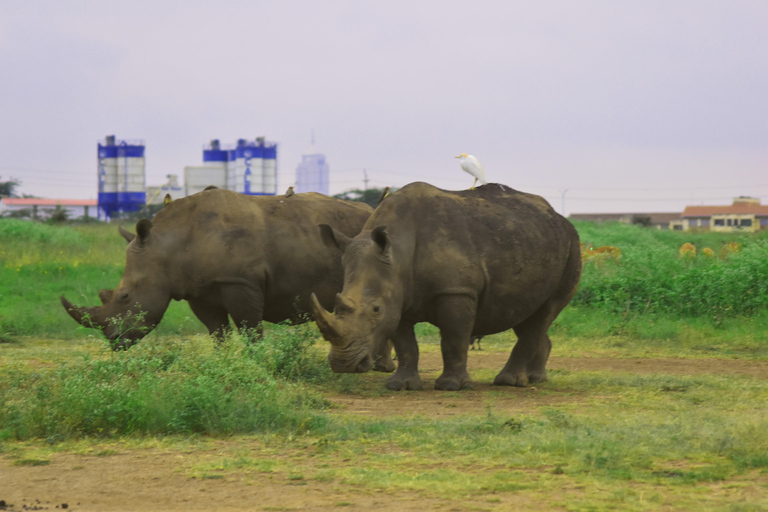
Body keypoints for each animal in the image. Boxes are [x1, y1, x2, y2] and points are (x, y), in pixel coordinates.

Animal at [62, 188, 392, 368]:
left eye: (126, 296)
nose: (113, 340)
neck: (167, 246)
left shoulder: (239, 282)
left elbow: (250, 330)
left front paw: (259, 366)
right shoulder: (199, 291)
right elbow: (218, 333)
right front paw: (223, 363)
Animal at [312, 182, 584, 390]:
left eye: (375, 309)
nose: (343, 365)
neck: (398, 252)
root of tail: (559, 218)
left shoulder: (457, 291)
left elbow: (454, 339)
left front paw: (452, 386)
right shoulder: (398, 296)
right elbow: (405, 344)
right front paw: (402, 386)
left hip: (573, 247)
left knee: (545, 311)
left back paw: (509, 382)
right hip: (534, 243)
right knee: (525, 314)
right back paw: (536, 379)